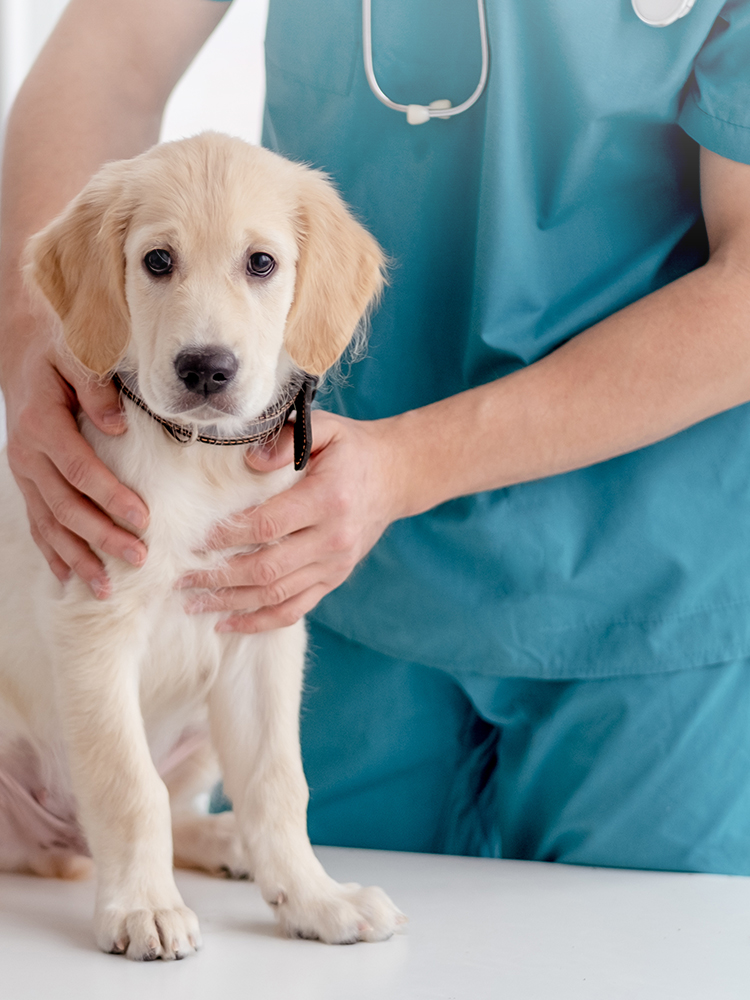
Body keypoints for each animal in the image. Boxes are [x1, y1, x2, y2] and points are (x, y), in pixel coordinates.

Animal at [0, 133, 406, 960]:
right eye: (157, 261)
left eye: (262, 263)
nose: (207, 368)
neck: (199, 457)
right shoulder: (93, 620)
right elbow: (129, 788)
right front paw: (141, 907)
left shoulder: (262, 631)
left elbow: (278, 785)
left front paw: (314, 897)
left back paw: (228, 845)